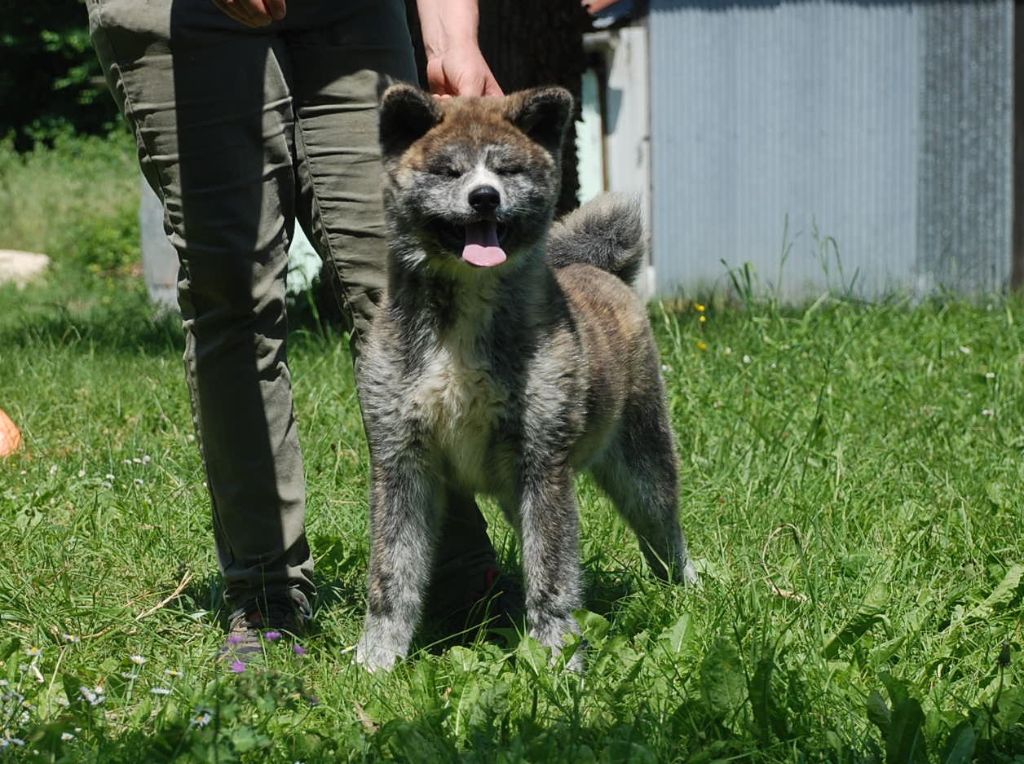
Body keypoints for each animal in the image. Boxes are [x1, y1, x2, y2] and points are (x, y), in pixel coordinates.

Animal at [352, 81, 696, 667]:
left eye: (506, 169)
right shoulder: (402, 462)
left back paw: (689, 588)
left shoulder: (542, 463)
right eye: (449, 170)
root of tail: (601, 271)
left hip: (641, 465)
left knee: (663, 529)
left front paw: (558, 655)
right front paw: (379, 657)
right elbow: (392, 573)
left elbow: (552, 574)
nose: (484, 197)